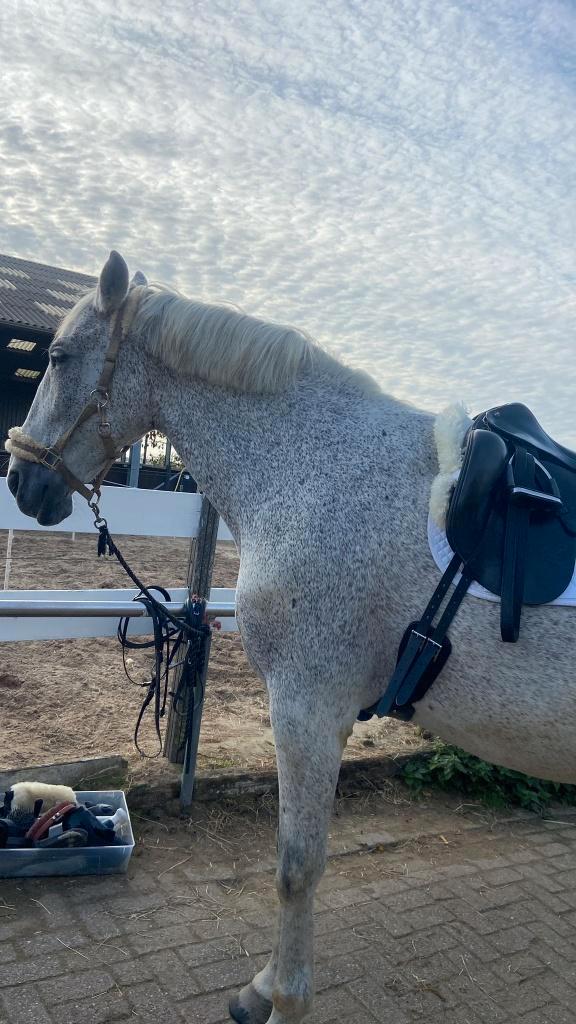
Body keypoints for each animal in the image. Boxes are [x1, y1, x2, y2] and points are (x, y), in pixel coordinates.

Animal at [6, 250, 576, 1024]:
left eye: (59, 357)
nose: (21, 480)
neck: (312, 465)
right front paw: (264, 987)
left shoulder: (308, 704)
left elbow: (295, 866)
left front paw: (284, 999)